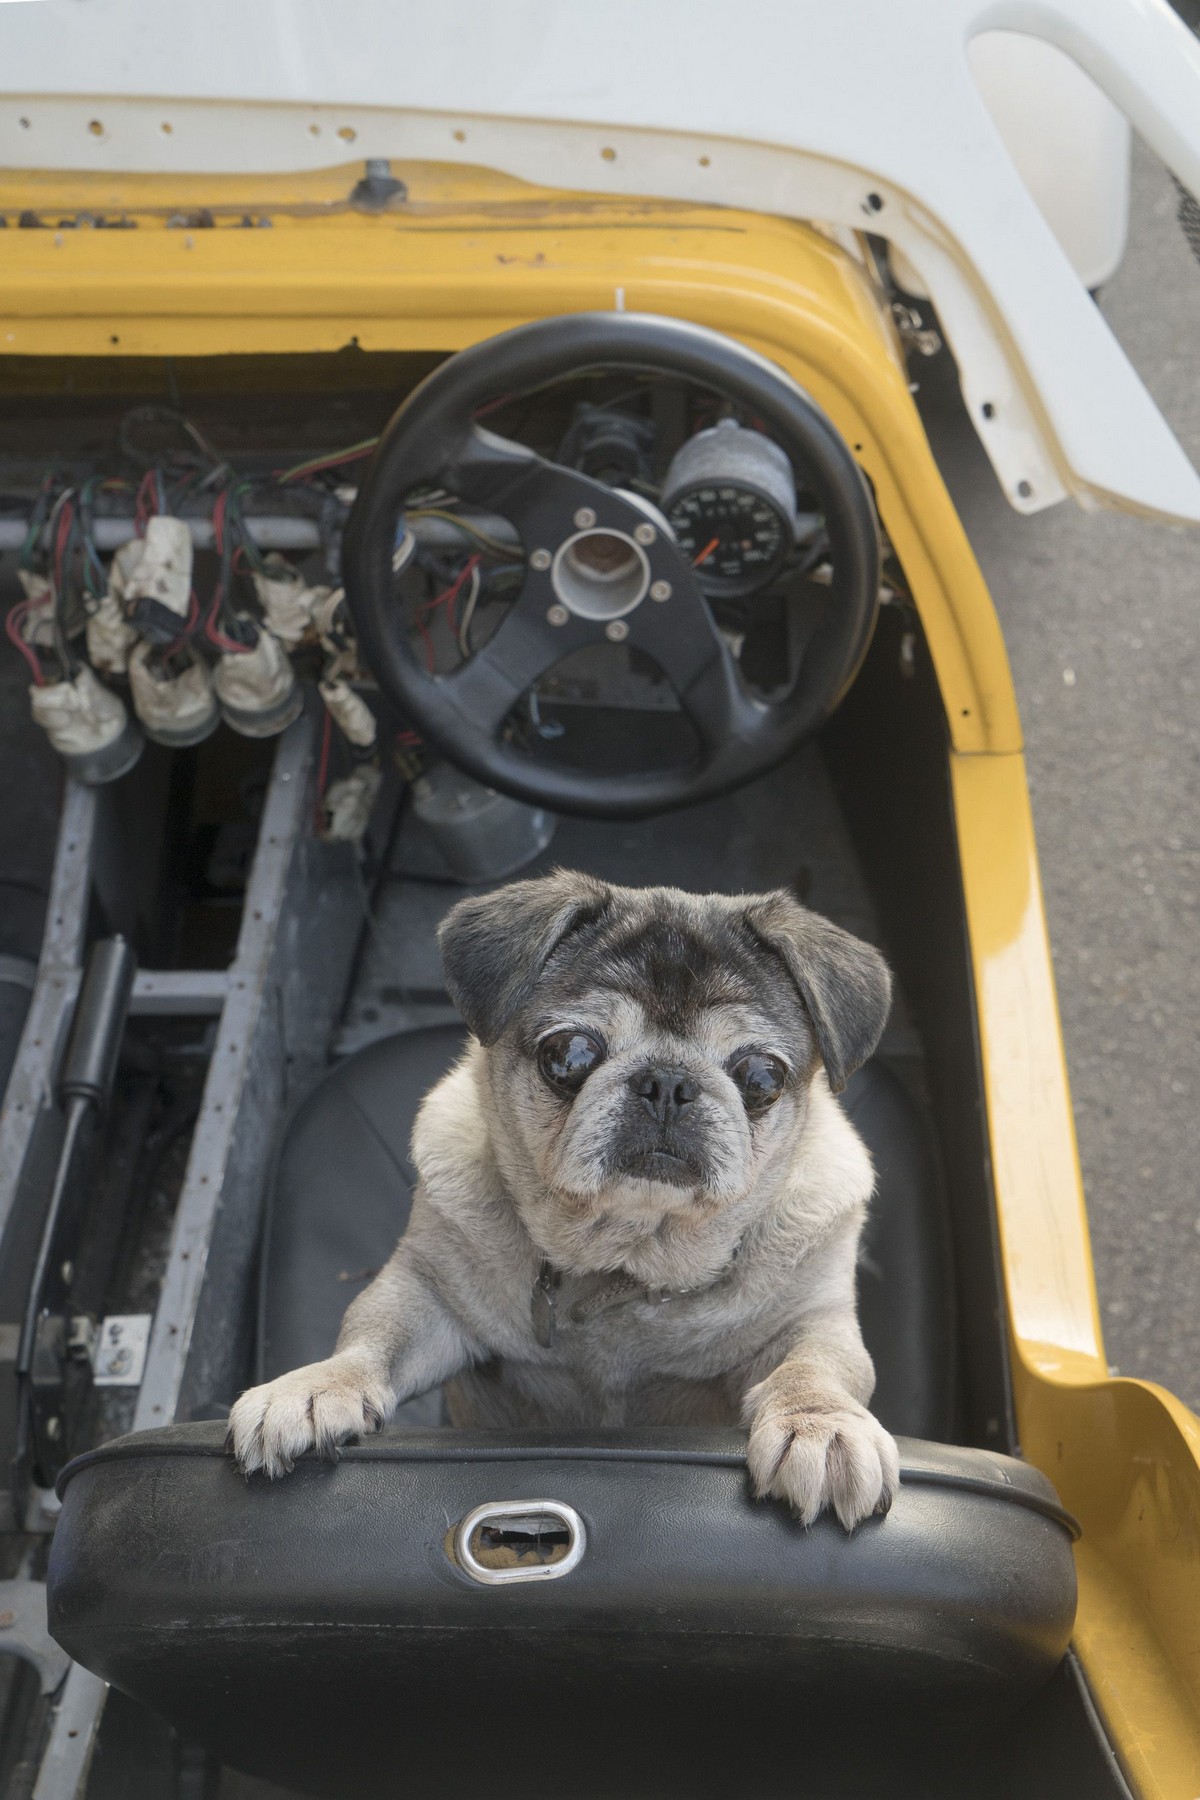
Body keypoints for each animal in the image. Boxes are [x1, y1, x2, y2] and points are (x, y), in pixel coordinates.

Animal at [227, 871, 899, 1533]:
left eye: (762, 1076)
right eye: (569, 1054)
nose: (668, 1082)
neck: (626, 1263)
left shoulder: (811, 1318)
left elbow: (817, 1367)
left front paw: (822, 1426)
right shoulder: (428, 1294)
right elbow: (373, 1334)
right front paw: (313, 1387)